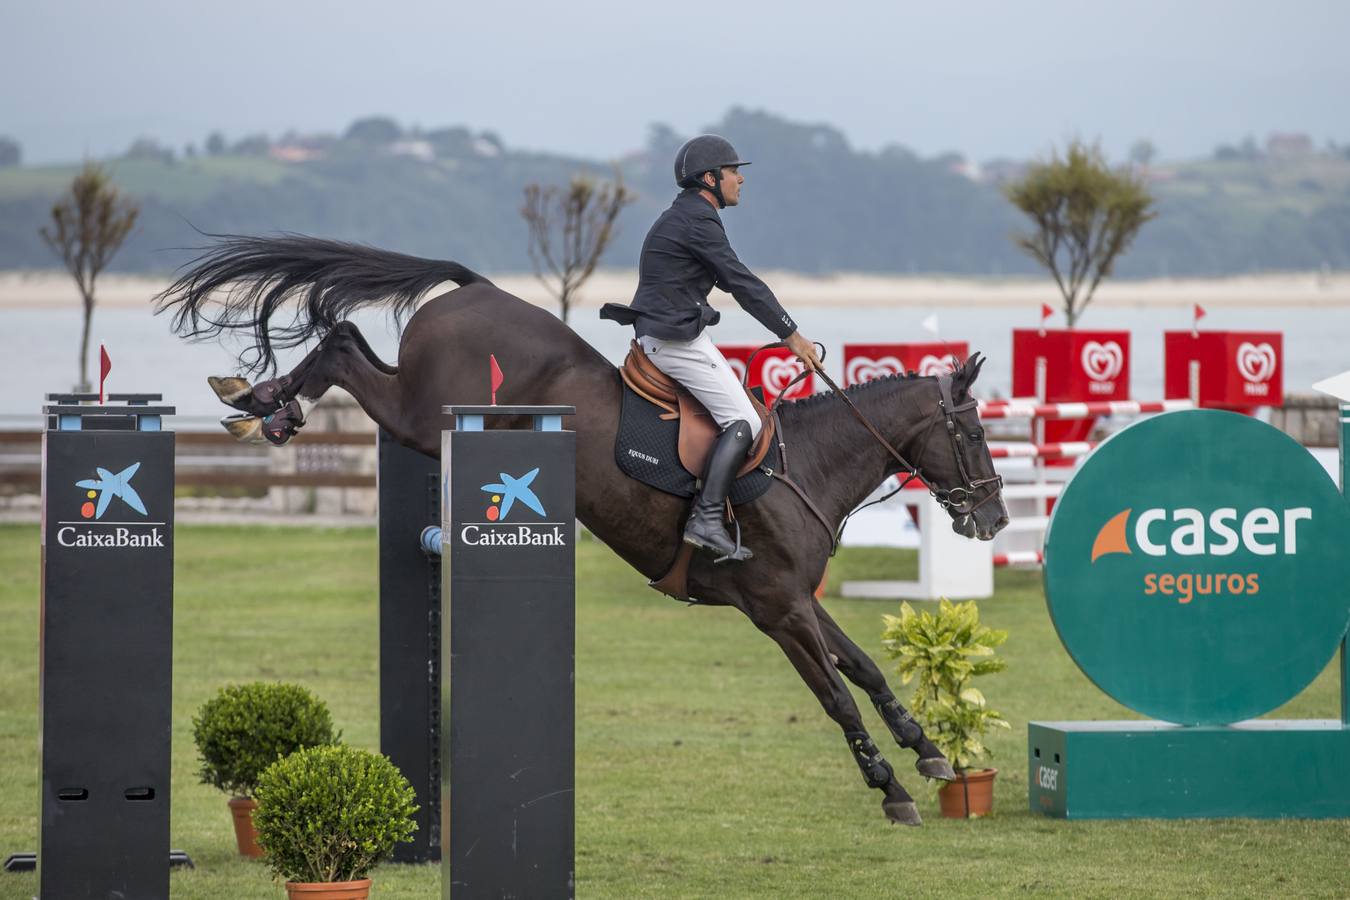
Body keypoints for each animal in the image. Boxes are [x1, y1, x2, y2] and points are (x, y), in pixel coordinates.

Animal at [155, 236, 1004, 825]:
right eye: (972, 433)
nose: (993, 517)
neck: (807, 466)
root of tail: (475, 290)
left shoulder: (798, 597)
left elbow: (866, 670)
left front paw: (930, 753)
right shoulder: (777, 609)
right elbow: (837, 698)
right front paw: (891, 788)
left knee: (346, 341)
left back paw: (259, 399)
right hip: (424, 416)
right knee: (339, 344)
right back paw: (265, 406)